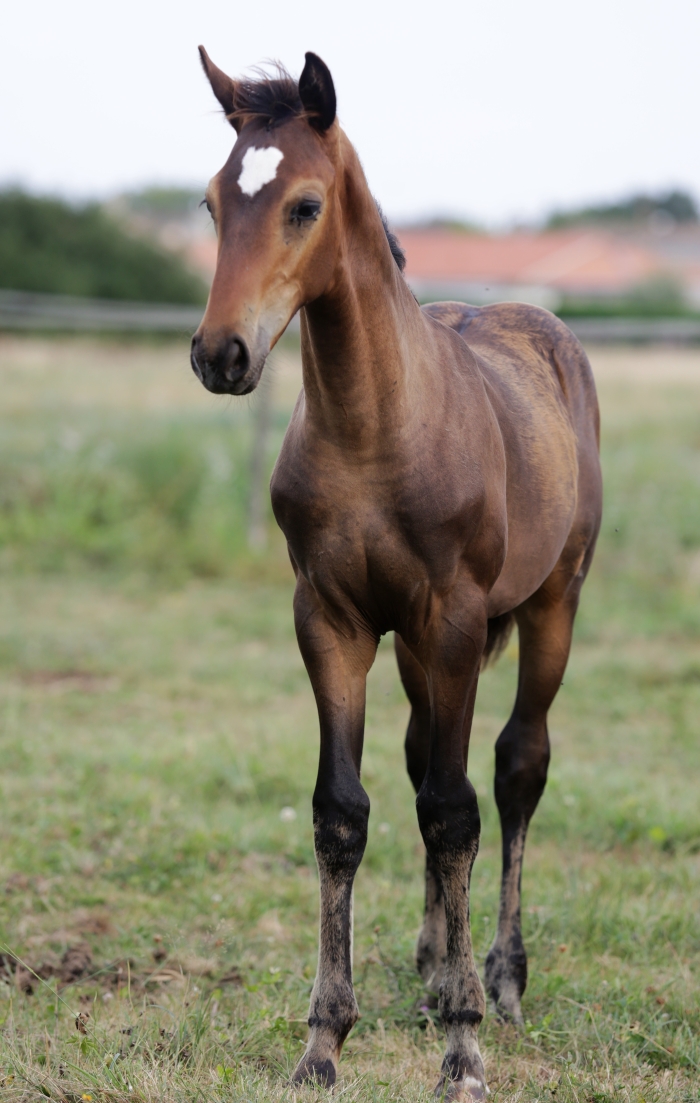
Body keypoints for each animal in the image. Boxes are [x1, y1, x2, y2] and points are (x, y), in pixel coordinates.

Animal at [190, 47, 604, 1098]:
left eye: (303, 204)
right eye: (212, 203)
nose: (221, 354)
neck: (377, 431)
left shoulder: (453, 618)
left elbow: (455, 814)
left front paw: (464, 1045)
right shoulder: (330, 619)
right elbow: (346, 812)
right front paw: (323, 1041)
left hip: (551, 604)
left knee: (515, 766)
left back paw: (497, 976)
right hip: (418, 649)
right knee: (425, 759)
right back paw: (431, 966)